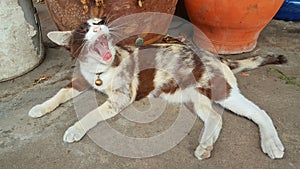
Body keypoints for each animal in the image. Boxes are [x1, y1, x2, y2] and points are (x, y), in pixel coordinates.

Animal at [28, 17, 286, 160]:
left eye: (99, 22)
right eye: (84, 29)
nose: (101, 25)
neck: (99, 71)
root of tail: (217, 56)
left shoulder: (121, 98)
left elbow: (92, 113)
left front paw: (75, 128)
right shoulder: (79, 81)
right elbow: (59, 94)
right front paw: (40, 107)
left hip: (222, 91)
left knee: (259, 113)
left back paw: (271, 142)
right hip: (193, 97)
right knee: (216, 118)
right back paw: (205, 145)